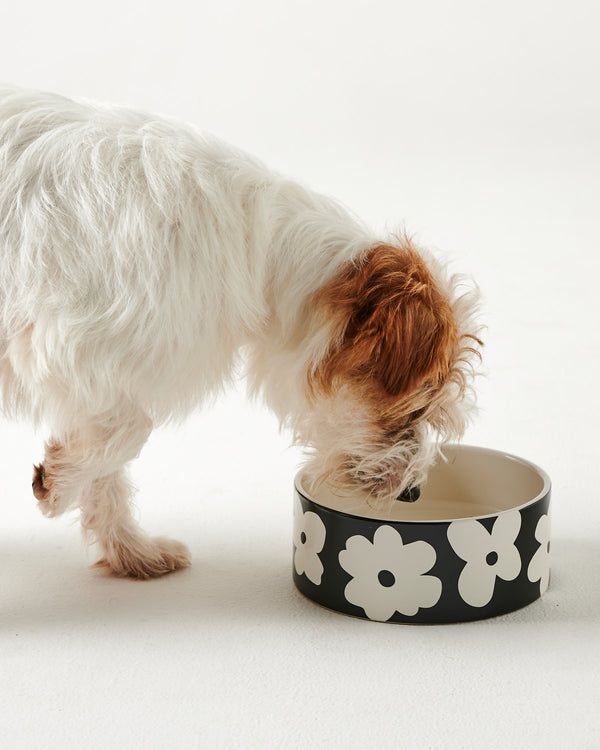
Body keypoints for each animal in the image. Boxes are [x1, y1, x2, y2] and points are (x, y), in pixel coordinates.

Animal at [0, 86, 480, 580]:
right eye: (415, 409)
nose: (412, 494)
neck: (260, 248)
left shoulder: (107, 376)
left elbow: (108, 465)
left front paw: (131, 550)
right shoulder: (67, 348)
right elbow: (129, 431)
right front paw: (57, 487)